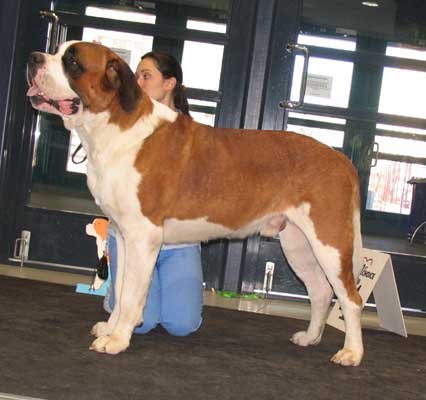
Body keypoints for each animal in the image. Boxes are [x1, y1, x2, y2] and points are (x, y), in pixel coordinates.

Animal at [27, 41, 364, 366]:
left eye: (72, 61)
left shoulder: (142, 237)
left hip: (330, 242)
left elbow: (132, 294)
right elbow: (121, 290)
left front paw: (117, 340)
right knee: (320, 291)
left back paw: (351, 353)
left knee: (350, 298)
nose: (33, 58)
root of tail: (341, 160)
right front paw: (111, 328)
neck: (113, 125)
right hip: (297, 242)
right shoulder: (122, 236)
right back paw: (310, 337)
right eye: (57, 52)